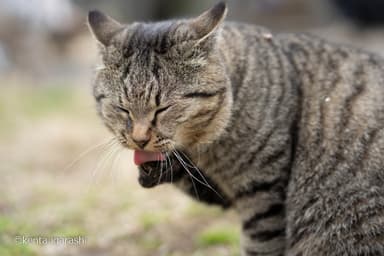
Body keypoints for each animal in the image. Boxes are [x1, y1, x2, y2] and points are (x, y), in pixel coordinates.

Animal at [88, 2, 384, 256]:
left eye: (163, 108)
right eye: (122, 108)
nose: (139, 139)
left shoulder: (262, 194)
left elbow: (260, 246)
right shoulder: (221, 190)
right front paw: (155, 167)